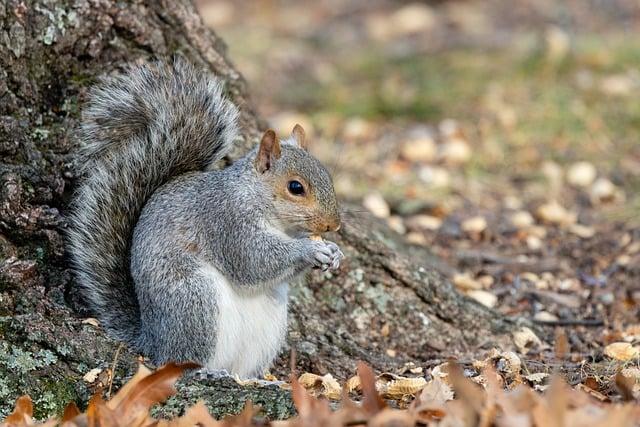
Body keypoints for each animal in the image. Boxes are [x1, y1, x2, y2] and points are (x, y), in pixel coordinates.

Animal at [67, 57, 342, 378]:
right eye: (295, 187)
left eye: (327, 175)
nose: (334, 225)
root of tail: (152, 338)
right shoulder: (225, 221)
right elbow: (254, 261)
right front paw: (309, 249)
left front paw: (334, 252)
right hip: (194, 300)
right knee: (178, 361)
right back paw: (205, 371)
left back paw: (257, 380)